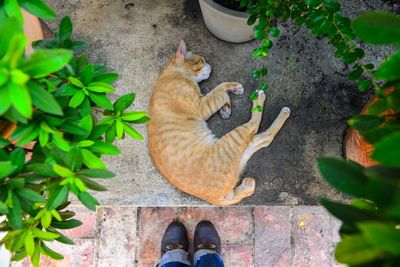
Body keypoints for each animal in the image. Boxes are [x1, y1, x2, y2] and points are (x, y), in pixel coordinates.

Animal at [148, 40, 290, 206]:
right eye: (201, 60)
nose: (210, 66)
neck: (171, 75)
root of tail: (214, 199)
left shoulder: (203, 100)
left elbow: (219, 88)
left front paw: (229, 101)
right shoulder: (201, 106)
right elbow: (220, 93)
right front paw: (227, 103)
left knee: (265, 138)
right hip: (234, 138)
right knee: (255, 125)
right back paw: (260, 99)